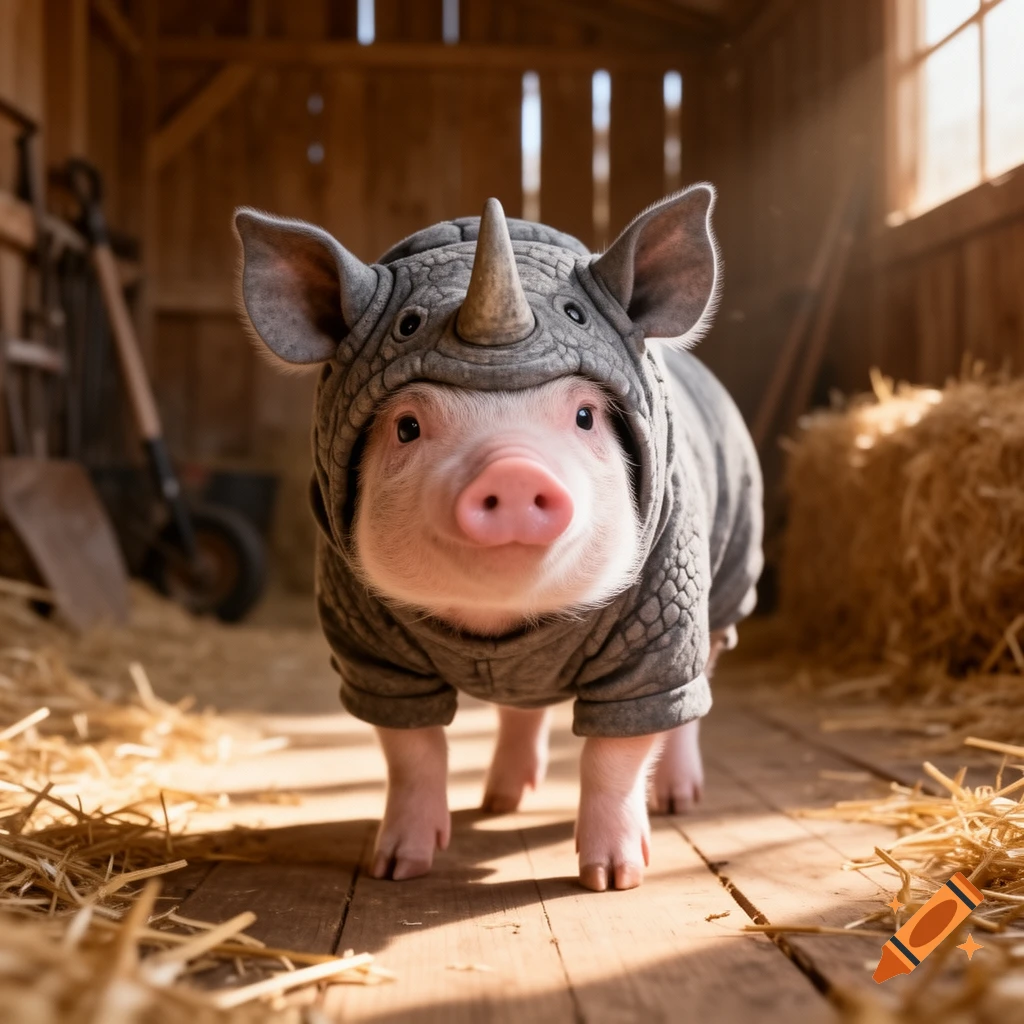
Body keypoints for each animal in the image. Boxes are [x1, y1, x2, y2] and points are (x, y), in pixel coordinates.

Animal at [233, 185, 763, 892]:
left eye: (585, 416)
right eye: (407, 426)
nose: (512, 471)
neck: (501, 624)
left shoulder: (662, 615)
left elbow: (618, 749)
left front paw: (611, 879)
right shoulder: (368, 645)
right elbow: (411, 749)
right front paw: (396, 868)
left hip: (729, 579)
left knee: (692, 692)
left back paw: (679, 799)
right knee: (522, 707)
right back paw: (499, 802)